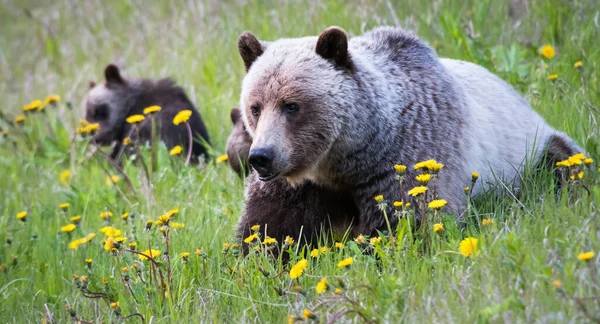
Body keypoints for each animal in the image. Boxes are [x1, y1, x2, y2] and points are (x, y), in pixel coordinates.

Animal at [237, 26, 584, 239]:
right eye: (255, 107)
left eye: (291, 105)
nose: (261, 156)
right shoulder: (299, 185)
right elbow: (268, 228)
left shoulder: (410, 157)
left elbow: (407, 220)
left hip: (531, 150)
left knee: (563, 166)